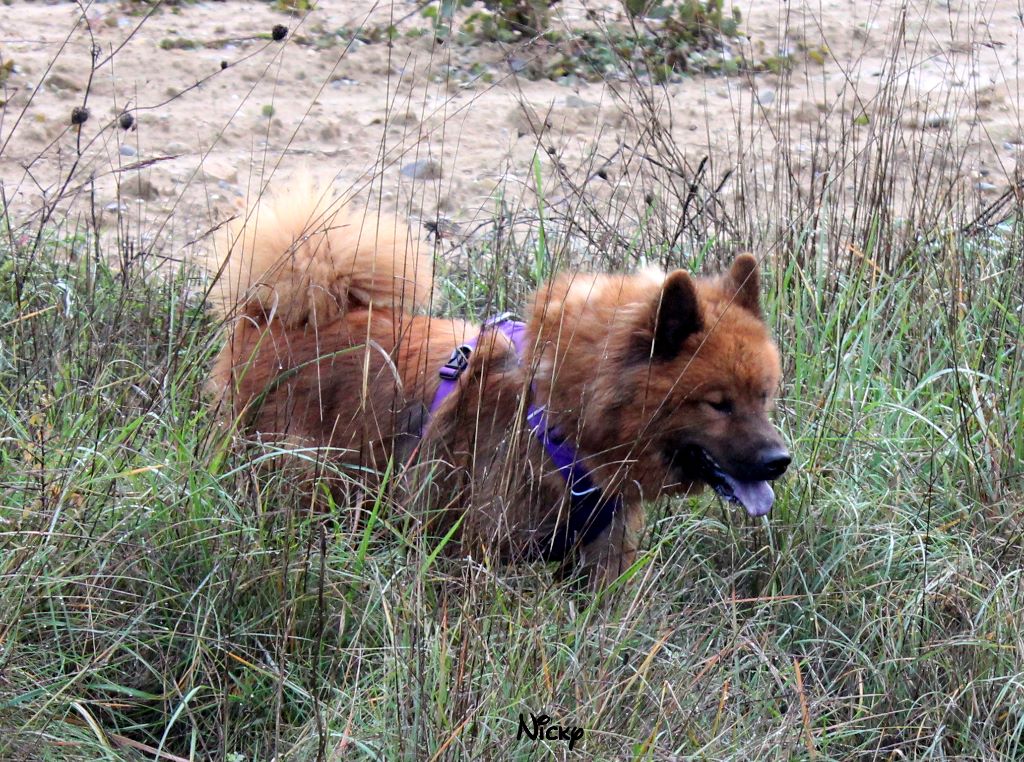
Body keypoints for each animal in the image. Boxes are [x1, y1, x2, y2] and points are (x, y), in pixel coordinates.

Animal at [205, 186, 782, 589]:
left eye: (763, 396)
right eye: (717, 404)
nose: (780, 461)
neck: (557, 414)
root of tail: (269, 315)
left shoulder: (600, 560)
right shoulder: (482, 555)